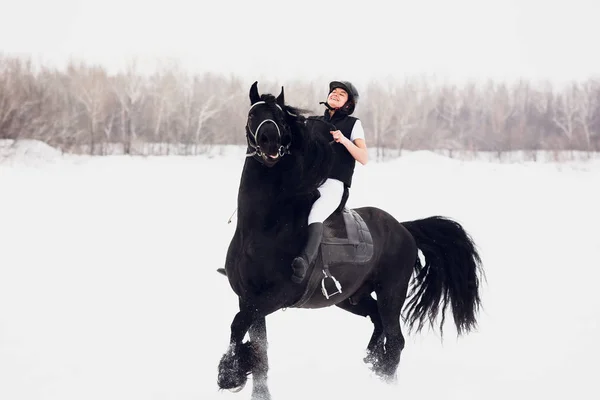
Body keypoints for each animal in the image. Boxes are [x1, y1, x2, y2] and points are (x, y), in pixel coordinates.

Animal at [217, 82, 482, 400]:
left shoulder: (276, 295)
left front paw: (228, 373)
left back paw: (385, 380)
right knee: (378, 323)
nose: (269, 142)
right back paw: (372, 360)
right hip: (353, 297)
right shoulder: (248, 296)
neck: (263, 228)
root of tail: (403, 229)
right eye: (253, 115)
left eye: (280, 117)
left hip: (391, 293)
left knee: (395, 341)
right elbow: (259, 351)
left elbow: (238, 323)